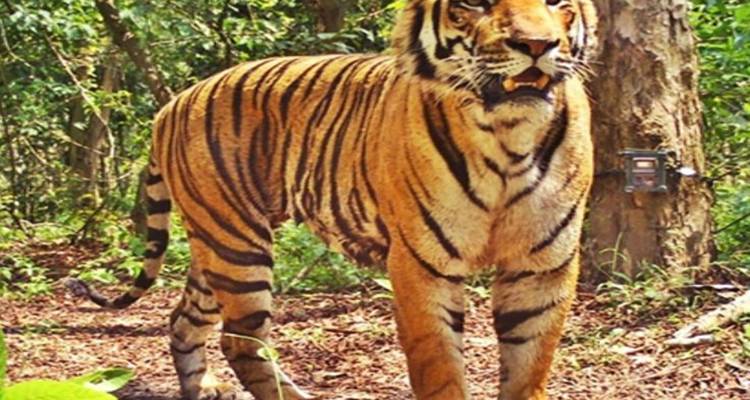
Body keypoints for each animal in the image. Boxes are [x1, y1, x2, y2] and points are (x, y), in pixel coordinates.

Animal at [68, 0, 598, 399]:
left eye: (557, 2)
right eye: (475, 2)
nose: (537, 45)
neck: (510, 137)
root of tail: (172, 103)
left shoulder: (542, 266)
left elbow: (529, 368)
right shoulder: (421, 264)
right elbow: (441, 369)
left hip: (214, 247)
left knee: (183, 322)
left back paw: (201, 388)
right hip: (237, 246)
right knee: (241, 343)